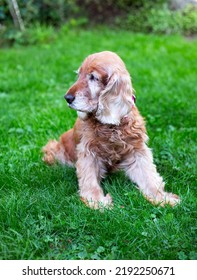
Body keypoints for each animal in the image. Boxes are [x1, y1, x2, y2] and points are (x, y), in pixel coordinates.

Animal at [42, 50, 180, 209]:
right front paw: (97, 202)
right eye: (78, 75)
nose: (67, 98)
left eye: (93, 77)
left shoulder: (137, 150)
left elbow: (149, 176)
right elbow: (89, 180)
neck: (111, 127)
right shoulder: (88, 152)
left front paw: (162, 198)